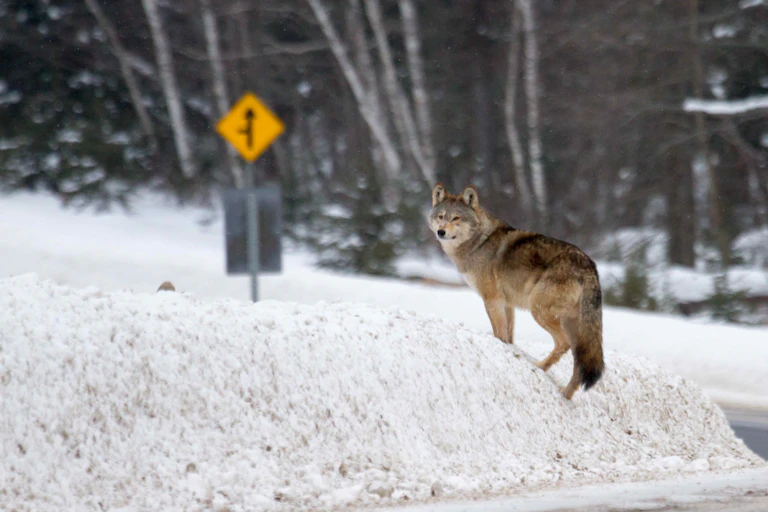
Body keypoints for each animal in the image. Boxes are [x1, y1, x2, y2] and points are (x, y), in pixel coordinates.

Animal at [428, 183, 604, 399]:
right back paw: (565, 395)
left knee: (563, 345)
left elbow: (499, 332)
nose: (441, 232)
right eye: (441, 216)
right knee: (579, 362)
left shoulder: (492, 299)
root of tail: (589, 267)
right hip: (573, 326)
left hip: (539, 311)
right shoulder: (508, 304)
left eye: (456, 218)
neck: (479, 243)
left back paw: (539, 367)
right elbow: (508, 337)